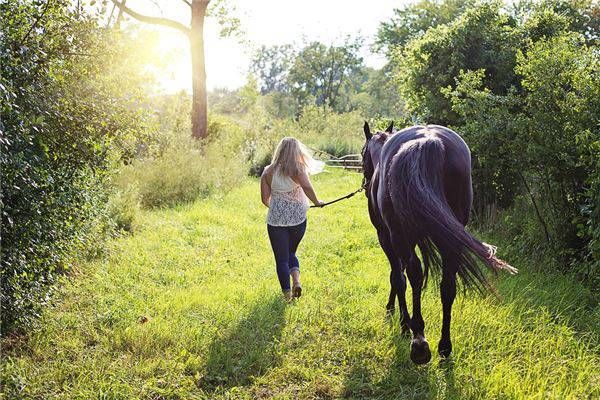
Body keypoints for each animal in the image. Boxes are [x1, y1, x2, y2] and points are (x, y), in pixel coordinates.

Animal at [360, 122, 516, 366]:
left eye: (362, 153)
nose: (366, 184)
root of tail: (428, 140)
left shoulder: (386, 237)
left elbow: (397, 277)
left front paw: (401, 321)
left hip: (400, 237)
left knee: (414, 275)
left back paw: (419, 342)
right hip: (449, 240)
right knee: (447, 286)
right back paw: (444, 346)